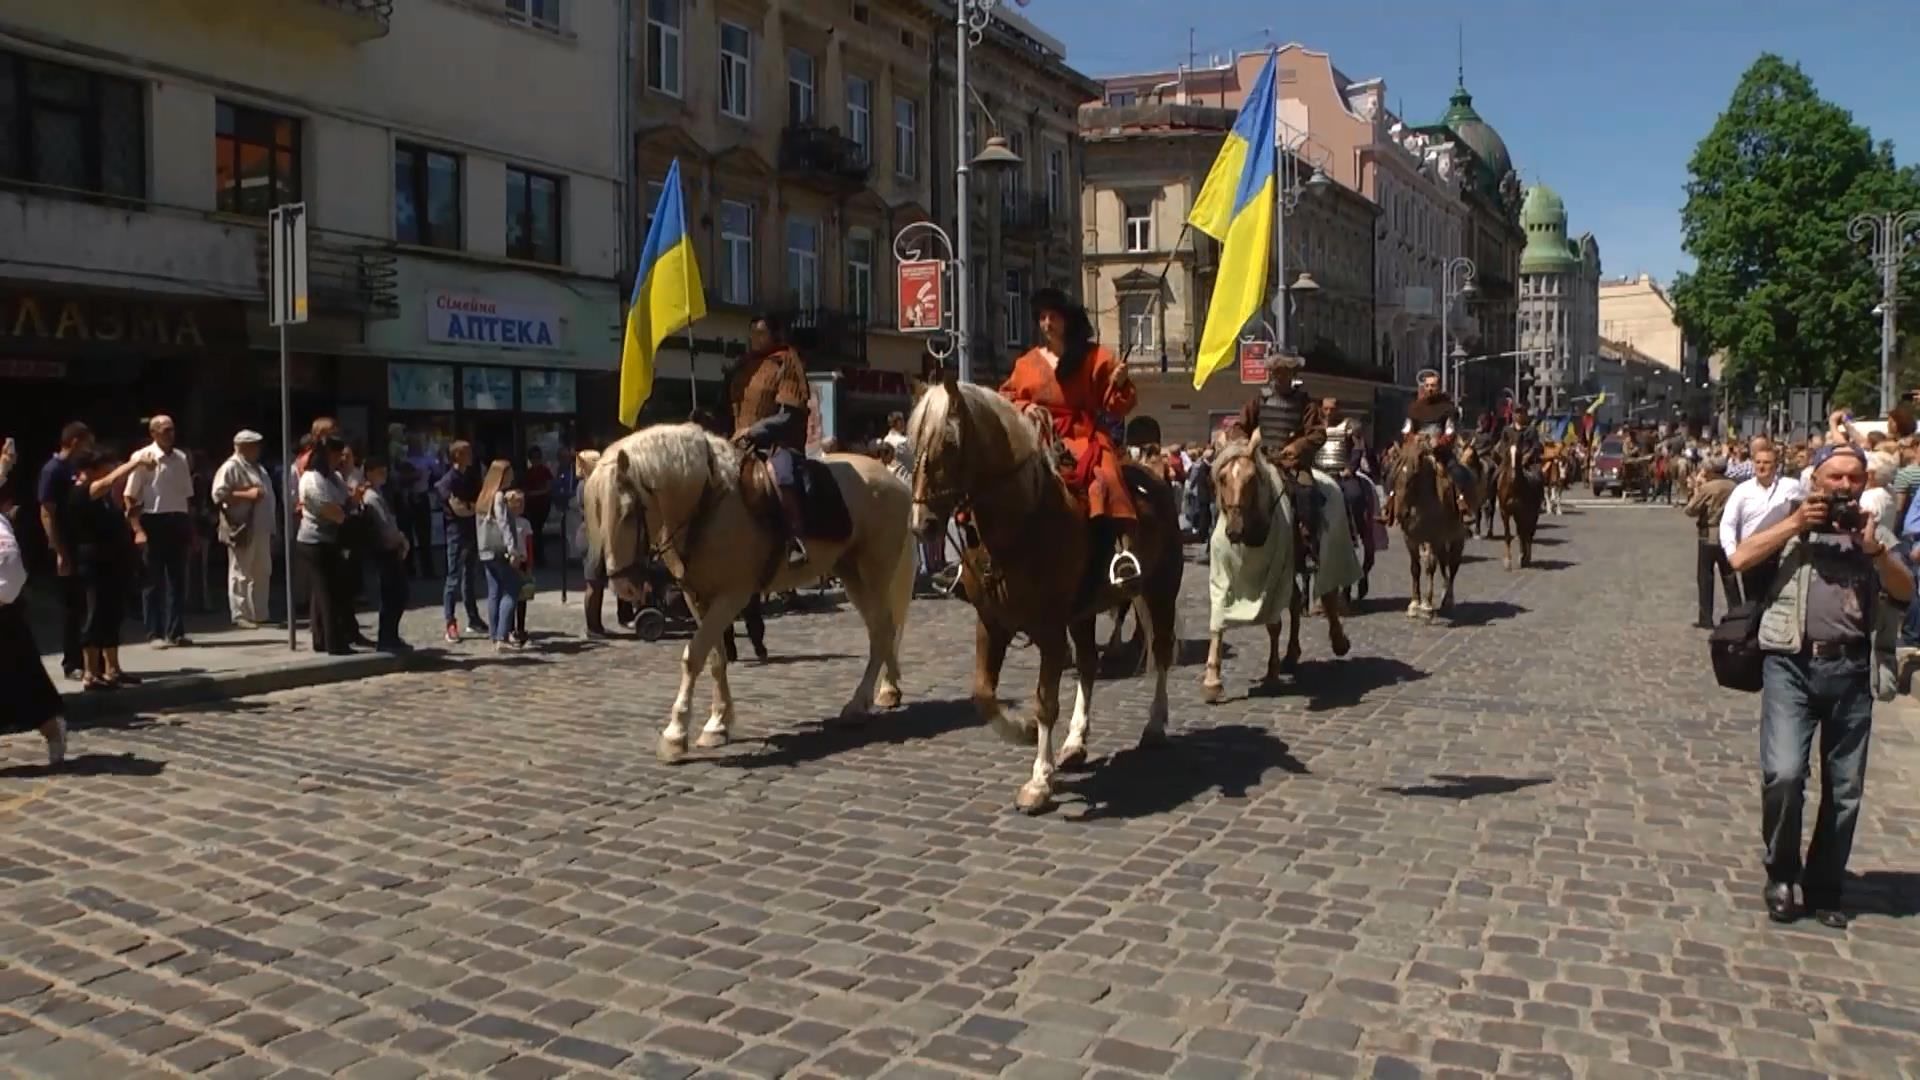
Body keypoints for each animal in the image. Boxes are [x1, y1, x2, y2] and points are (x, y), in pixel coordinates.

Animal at [583, 420, 913, 757]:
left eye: (627, 512)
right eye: (594, 512)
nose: (622, 585)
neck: (706, 505)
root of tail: (896, 483)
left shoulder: (732, 596)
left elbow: (694, 656)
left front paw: (676, 733)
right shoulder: (697, 598)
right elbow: (715, 658)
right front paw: (717, 724)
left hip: (875, 572)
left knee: (883, 629)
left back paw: (860, 703)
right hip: (852, 574)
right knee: (880, 630)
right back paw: (887, 689)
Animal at [902, 376, 1182, 807]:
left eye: (949, 441)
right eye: (912, 441)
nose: (923, 524)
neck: (1020, 523)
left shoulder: (1050, 629)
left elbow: (1046, 701)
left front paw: (1038, 780)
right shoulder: (992, 623)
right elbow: (983, 694)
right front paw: (1025, 732)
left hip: (1160, 592)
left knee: (1162, 653)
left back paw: (1153, 726)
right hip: (1084, 613)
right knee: (1088, 664)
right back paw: (1075, 743)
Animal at [1397, 426, 1466, 614]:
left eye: (1414, 476)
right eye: (1397, 474)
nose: (1401, 513)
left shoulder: (1433, 539)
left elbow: (1430, 567)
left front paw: (1427, 605)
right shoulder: (1411, 540)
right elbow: (1415, 568)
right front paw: (1414, 603)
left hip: (1456, 538)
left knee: (1452, 566)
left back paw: (1448, 599)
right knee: (1444, 564)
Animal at [1497, 438, 1543, 572]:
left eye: (1519, 455)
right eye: (1507, 453)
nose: (1513, 476)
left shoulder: (1521, 513)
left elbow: (1522, 534)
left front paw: (1522, 558)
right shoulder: (1505, 512)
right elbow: (1508, 535)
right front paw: (1508, 562)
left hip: (1533, 514)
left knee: (1529, 533)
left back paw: (1527, 557)